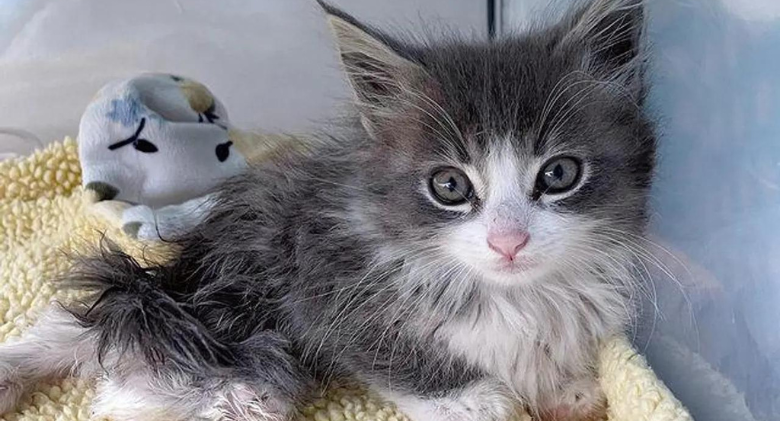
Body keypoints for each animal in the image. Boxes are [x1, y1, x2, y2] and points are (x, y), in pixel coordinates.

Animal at [0, 0, 656, 418]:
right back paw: (235, 397)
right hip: (231, 287)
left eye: (559, 174)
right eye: (449, 185)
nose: (508, 242)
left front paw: (565, 385)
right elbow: (379, 349)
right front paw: (465, 396)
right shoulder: (318, 280)